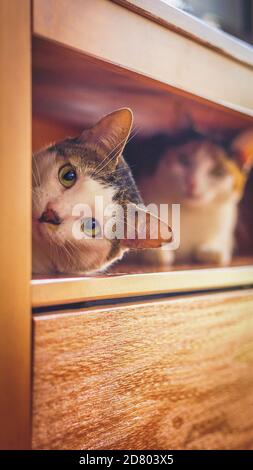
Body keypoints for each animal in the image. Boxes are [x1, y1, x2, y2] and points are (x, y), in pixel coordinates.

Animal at [126, 129, 253, 266]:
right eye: (183, 160)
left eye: (217, 171)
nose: (192, 183)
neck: (189, 213)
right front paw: (157, 251)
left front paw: (212, 249)